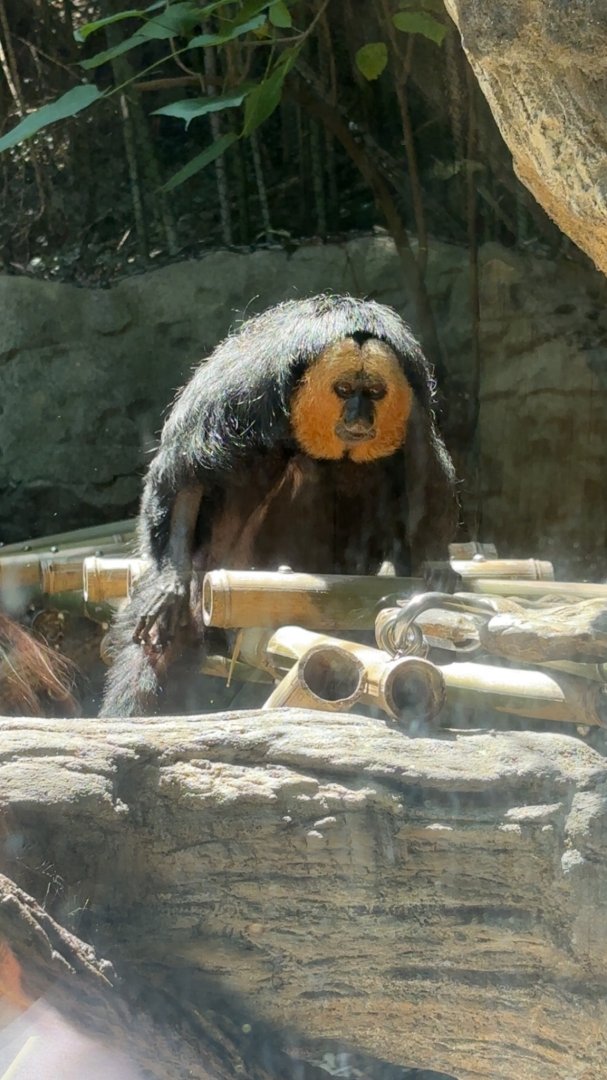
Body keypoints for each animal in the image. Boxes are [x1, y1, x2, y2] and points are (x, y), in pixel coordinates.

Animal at [100, 294, 458, 718]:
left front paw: (436, 565)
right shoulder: (247, 384)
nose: (359, 416)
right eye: (344, 389)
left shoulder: (414, 397)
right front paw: (172, 582)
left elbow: (424, 471)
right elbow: (188, 471)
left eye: (373, 392)